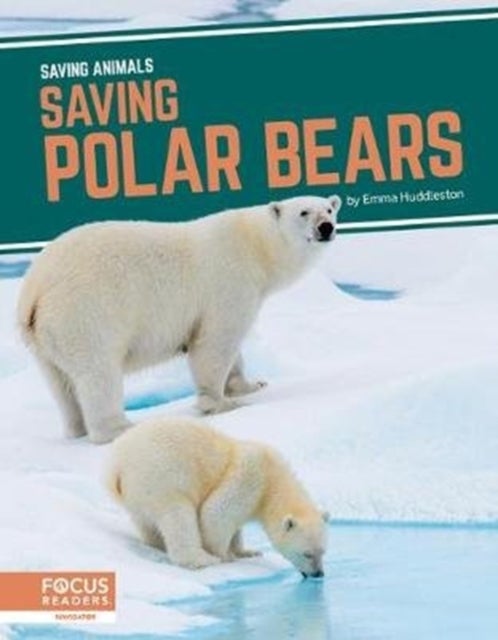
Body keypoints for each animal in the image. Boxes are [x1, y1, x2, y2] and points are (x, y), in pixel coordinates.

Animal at [18, 195, 341, 444]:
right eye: (304, 212)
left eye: (329, 208)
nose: (326, 227)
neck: (255, 244)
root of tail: (34, 288)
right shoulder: (229, 281)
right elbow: (215, 341)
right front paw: (223, 403)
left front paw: (252, 385)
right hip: (85, 313)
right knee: (98, 373)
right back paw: (120, 428)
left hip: (45, 339)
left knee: (60, 384)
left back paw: (77, 428)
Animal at [105, 416, 329, 577]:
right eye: (307, 553)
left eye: (323, 551)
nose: (318, 574)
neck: (273, 479)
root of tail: (116, 467)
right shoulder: (249, 478)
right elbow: (215, 513)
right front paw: (225, 556)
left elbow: (235, 526)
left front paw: (246, 551)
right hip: (162, 477)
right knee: (179, 517)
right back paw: (201, 559)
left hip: (139, 495)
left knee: (147, 523)